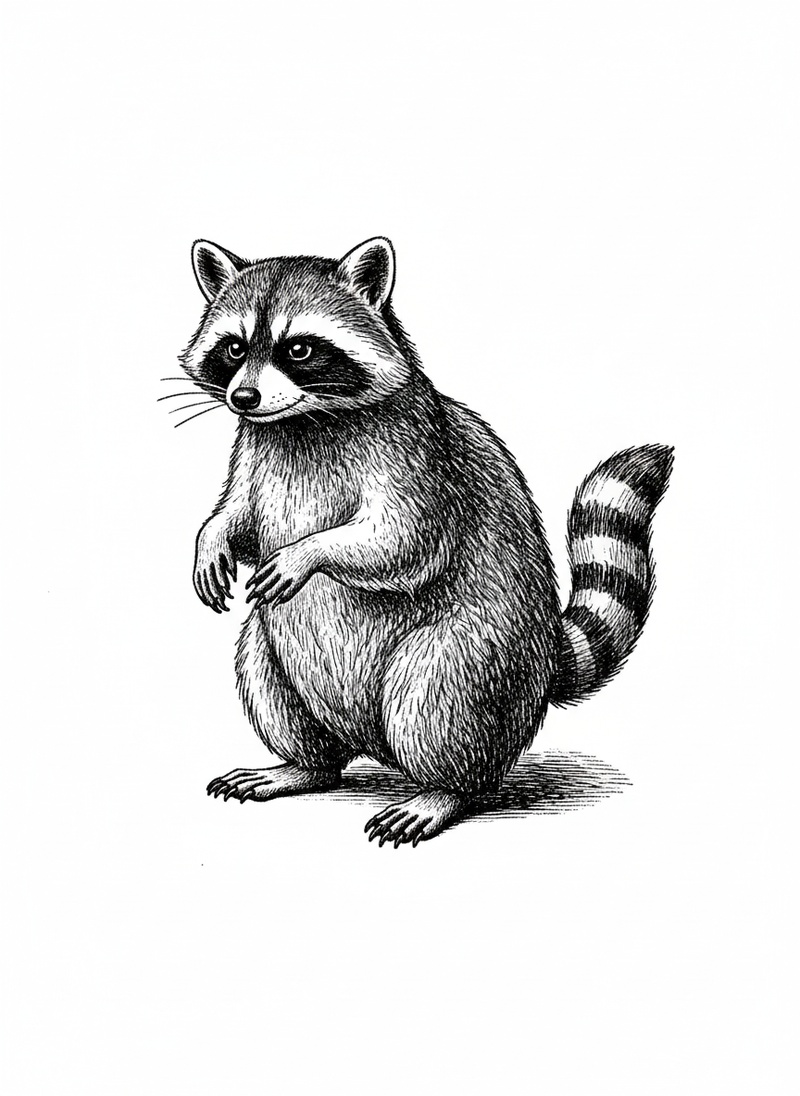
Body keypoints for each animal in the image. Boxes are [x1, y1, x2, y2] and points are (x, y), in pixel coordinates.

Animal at [172, 236, 673, 846]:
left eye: (299, 349)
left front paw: (306, 552)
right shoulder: (252, 451)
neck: (304, 420)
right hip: (274, 659)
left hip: (476, 660)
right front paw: (210, 540)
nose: (243, 397)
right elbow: (239, 516)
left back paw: (443, 790)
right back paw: (302, 765)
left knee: (434, 697)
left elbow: (406, 542)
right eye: (234, 347)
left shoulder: (419, 458)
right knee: (262, 671)